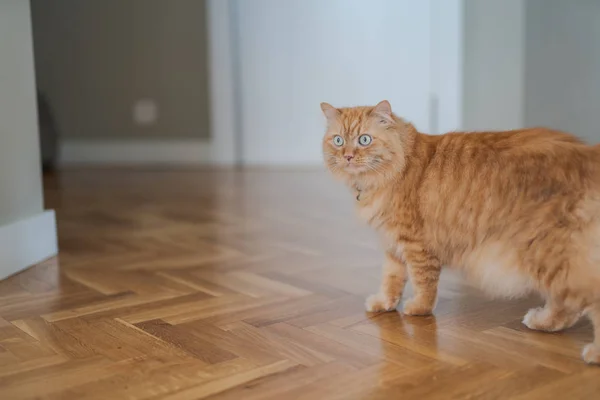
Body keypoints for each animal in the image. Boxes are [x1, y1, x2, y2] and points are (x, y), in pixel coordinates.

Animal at [322, 99, 600, 362]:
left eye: (364, 139)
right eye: (338, 141)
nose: (347, 156)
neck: (397, 167)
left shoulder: (415, 245)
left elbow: (423, 283)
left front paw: (419, 309)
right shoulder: (393, 246)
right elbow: (391, 280)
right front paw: (384, 304)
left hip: (550, 255)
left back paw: (593, 353)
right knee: (565, 306)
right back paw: (542, 321)